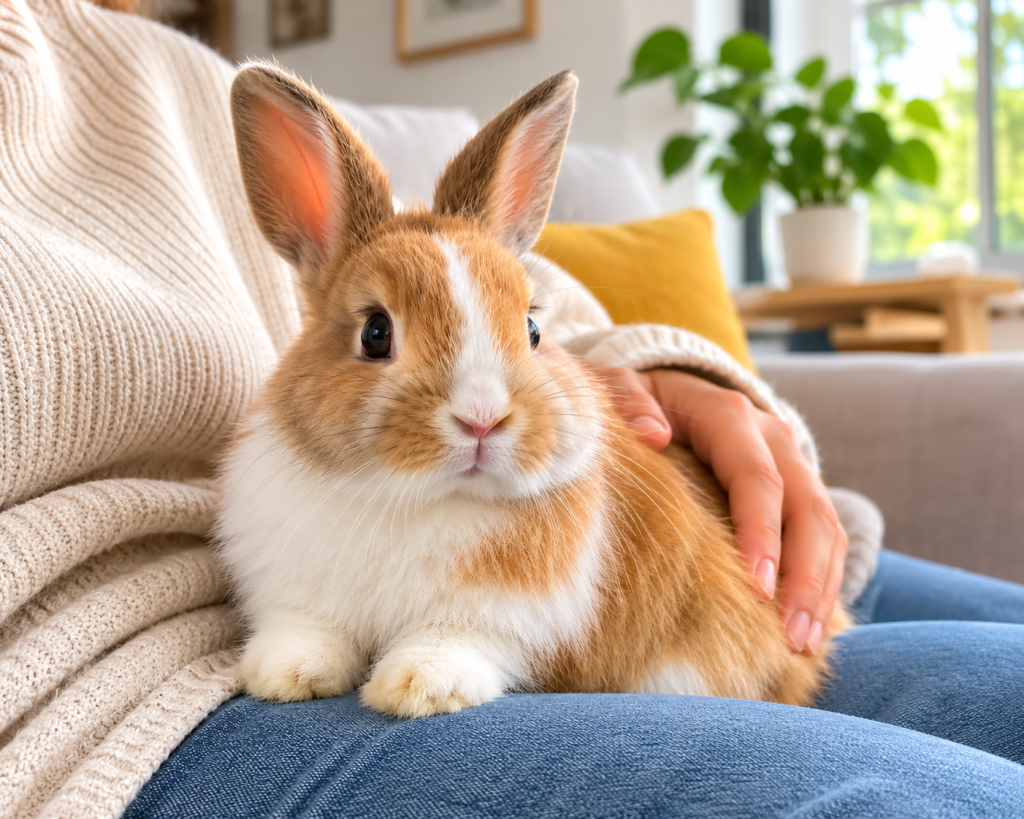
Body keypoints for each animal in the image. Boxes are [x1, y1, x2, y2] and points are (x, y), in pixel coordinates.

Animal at [218, 61, 850, 719]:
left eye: (533, 329)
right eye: (374, 333)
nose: (482, 419)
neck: (415, 498)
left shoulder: (497, 617)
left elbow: (455, 640)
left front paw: (418, 688)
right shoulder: (297, 591)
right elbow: (308, 630)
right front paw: (285, 675)